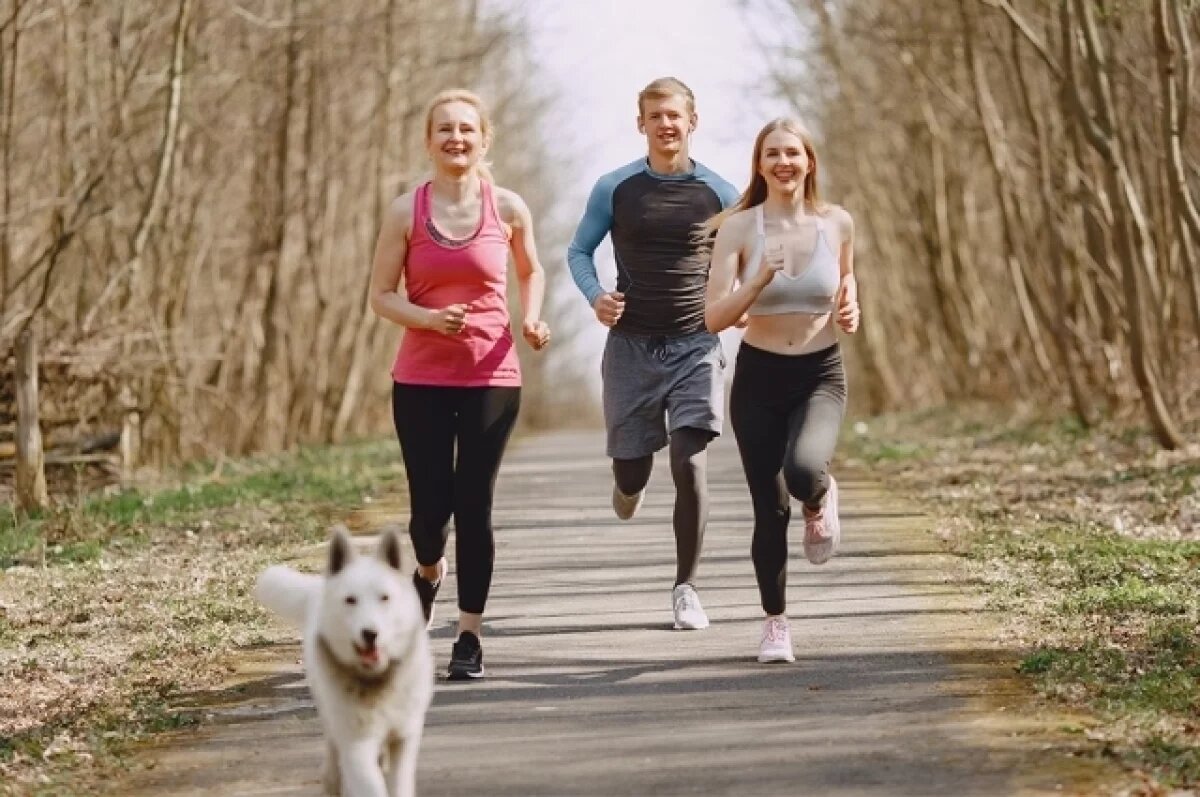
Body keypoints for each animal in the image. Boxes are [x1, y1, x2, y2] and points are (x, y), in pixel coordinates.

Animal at [255, 525, 434, 792]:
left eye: (384, 598)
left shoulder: (404, 736)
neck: (374, 681)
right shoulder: (356, 743)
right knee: (334, 759)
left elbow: (400, 782)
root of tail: (320, 588)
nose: (370, 633)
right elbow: (369, 784)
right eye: (351, 600)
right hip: (332, 721)